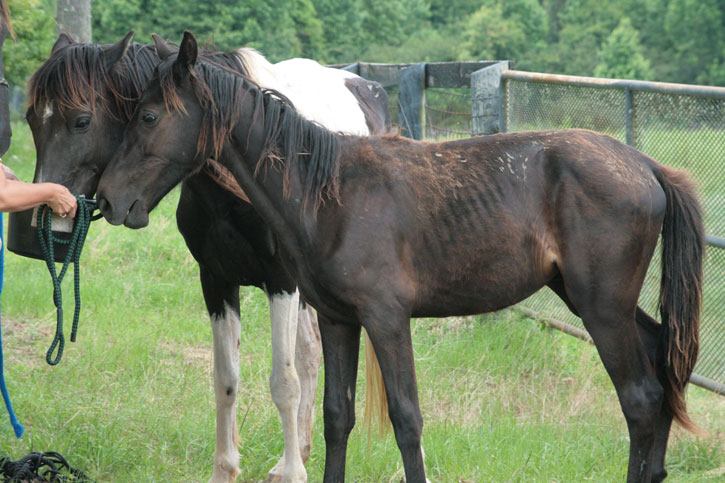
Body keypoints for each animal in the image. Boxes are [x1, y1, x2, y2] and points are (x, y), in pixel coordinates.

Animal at [25, 31, 390, 483]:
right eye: (31, 120)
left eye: (81, 121)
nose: (46, 214)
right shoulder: (216, 281)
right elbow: (226, 379)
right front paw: (229, 469)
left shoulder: (281, 283)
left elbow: (283, 382)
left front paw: (292, 474)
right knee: (309, 353)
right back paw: (298, 453)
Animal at [96, 31, 705, 483]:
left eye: (148, 117)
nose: (107, 200)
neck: (329, 193)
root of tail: (648, 167)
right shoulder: (339, 320)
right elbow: (336, 415)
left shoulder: (387, 320)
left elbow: (406, 418)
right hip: (593, 301)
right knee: (659, 367)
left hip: (601, 308)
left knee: (641, 398)